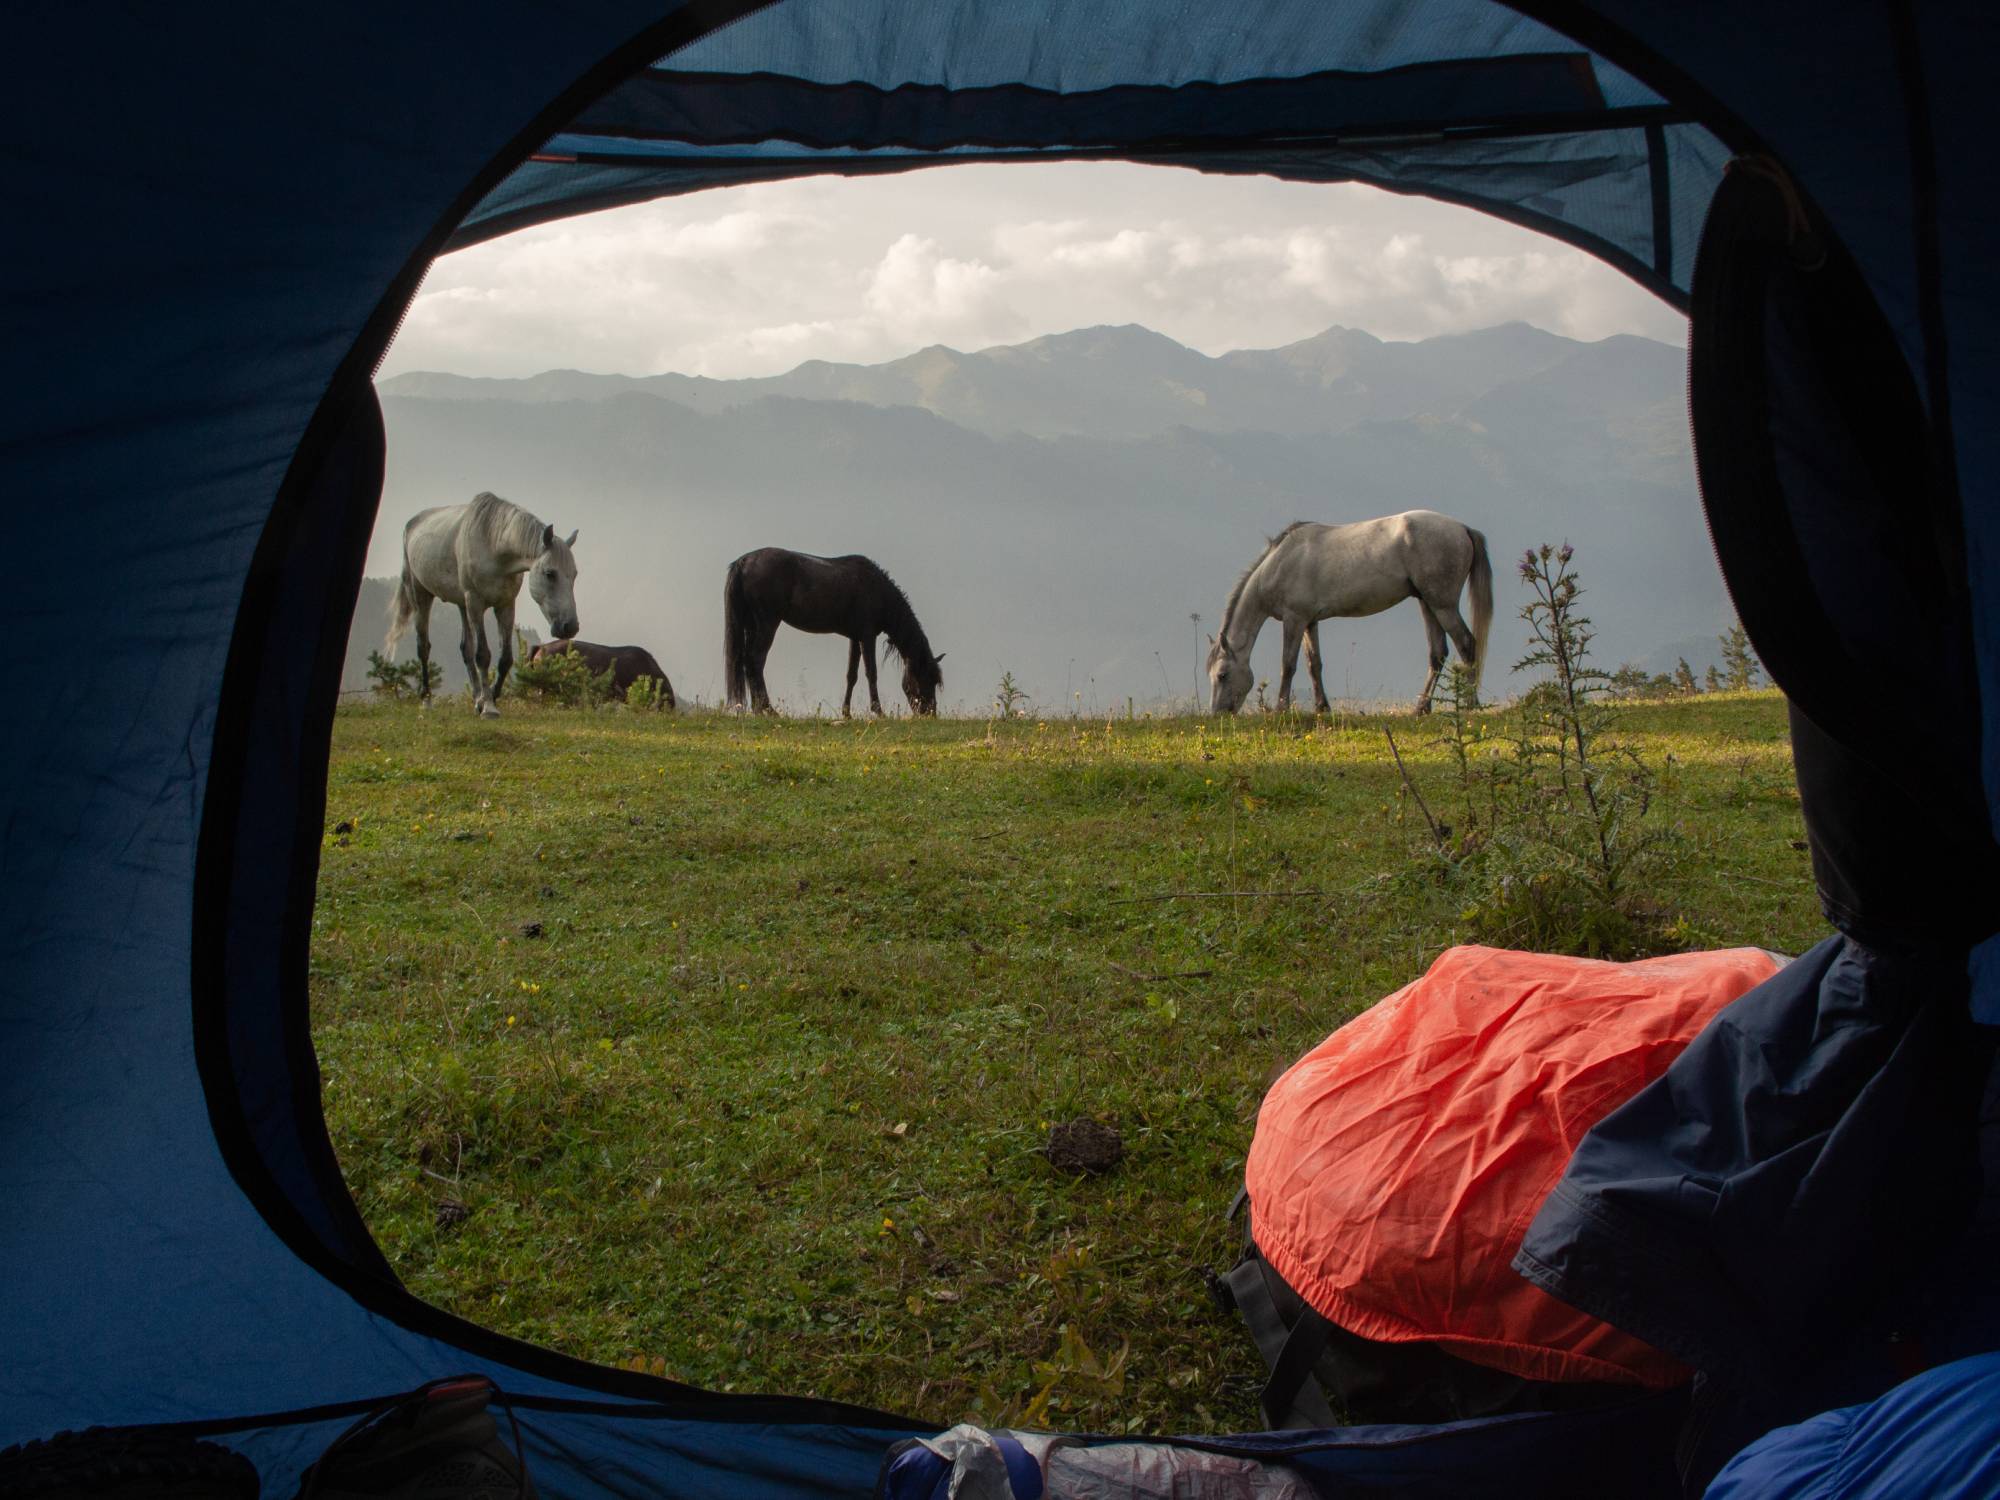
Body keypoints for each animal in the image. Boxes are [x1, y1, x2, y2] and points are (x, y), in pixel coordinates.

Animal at [386, 496, 580, 720]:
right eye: (550, 573)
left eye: (574, 574)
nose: (570, 626)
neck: (492, 543)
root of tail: (411, 526)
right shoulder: (476, 602)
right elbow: (483, 655)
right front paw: (488, 706)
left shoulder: (505, 605)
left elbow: (505, 658)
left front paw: (487, 699)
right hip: (421, 596)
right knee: (423, 646)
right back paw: (426, 700)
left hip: (462, 604)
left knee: (465, 649)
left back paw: (475, 697)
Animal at [728, 548, 944, 720]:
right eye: (926, 677)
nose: (931, 714)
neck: (877, 590)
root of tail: (744, 561)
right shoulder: (867, 637)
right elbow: (871, 673)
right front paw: (878, 711)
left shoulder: (855, 638)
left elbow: (851, 675)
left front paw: (846, 713)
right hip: (767, 624)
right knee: (756, 661)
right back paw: (766, 709)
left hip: (752, 627)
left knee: (748, 663)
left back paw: (758, 709)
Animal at [1200, 516, 1488, 716]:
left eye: (1222, 675)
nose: (1217, 714)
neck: (1280, 563)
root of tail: (1462, 528)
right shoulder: (1310, 622)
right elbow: (1313, 664)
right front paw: (1322, 707)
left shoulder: (1294, 620)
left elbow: (1288, 664)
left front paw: (1282, 707)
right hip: (1427, 604)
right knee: (1438, 653)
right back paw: (1422, 708)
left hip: (1443, 605)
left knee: (1466, 644)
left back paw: (1470, 703)